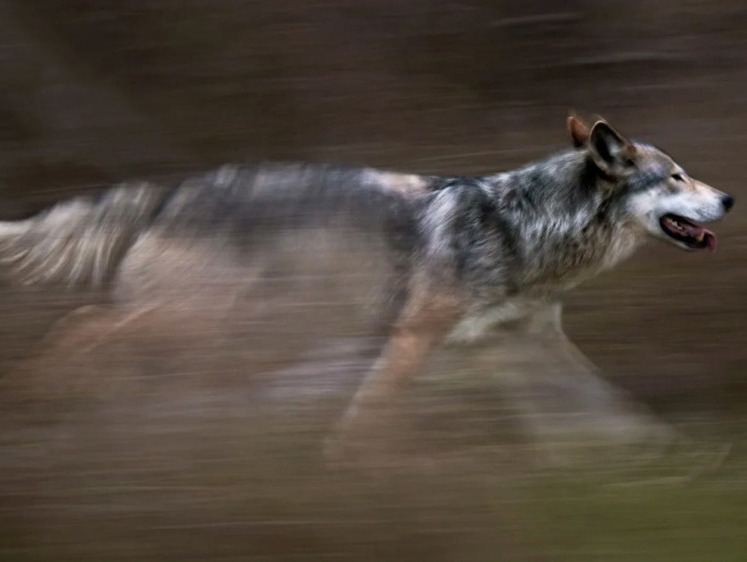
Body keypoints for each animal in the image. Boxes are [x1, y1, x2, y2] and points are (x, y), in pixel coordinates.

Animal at [0, 114, 736, 460]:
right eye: (676, 177)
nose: (729, 197)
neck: (526, 227)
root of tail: (169, 191)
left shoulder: (517, 347)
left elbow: (608, 411)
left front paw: (665, 459)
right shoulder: (412, 337)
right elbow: (367, 416)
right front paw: (344, 474)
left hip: (232, 332)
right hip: (201, 319)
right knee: (81, 324)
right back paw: (41, 396)